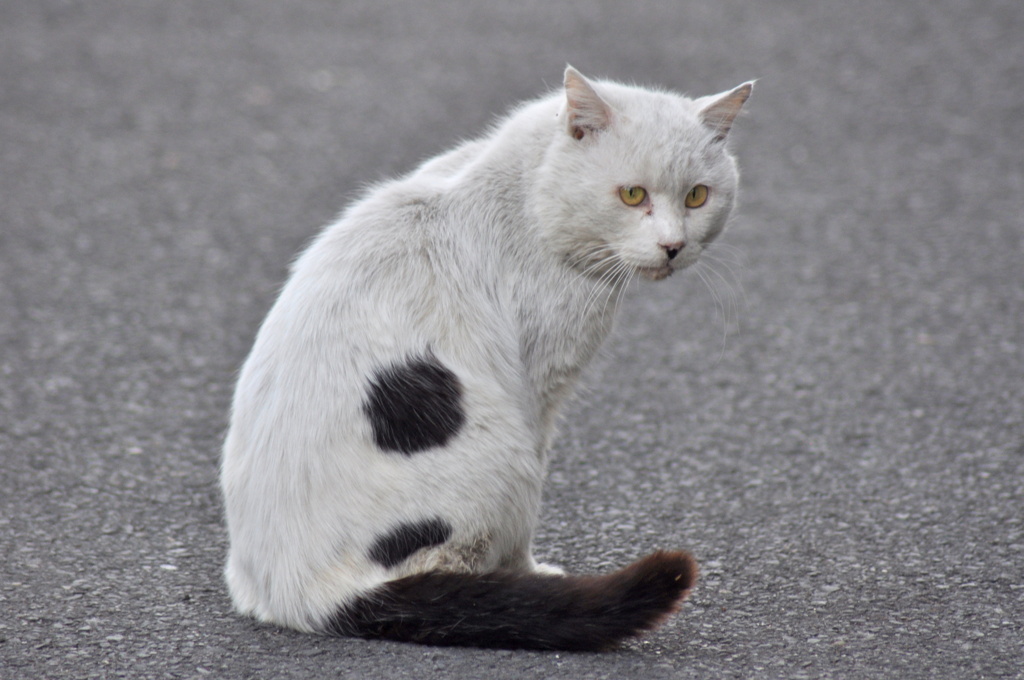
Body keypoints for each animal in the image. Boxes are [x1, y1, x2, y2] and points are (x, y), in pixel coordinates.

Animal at [222, 66, 753, 651]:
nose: (673, 246)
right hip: (503, 458)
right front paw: (530, 572)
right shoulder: (539, 392)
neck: (522, 192)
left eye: (697, 197)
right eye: (633, 195)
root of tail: (302, 597)